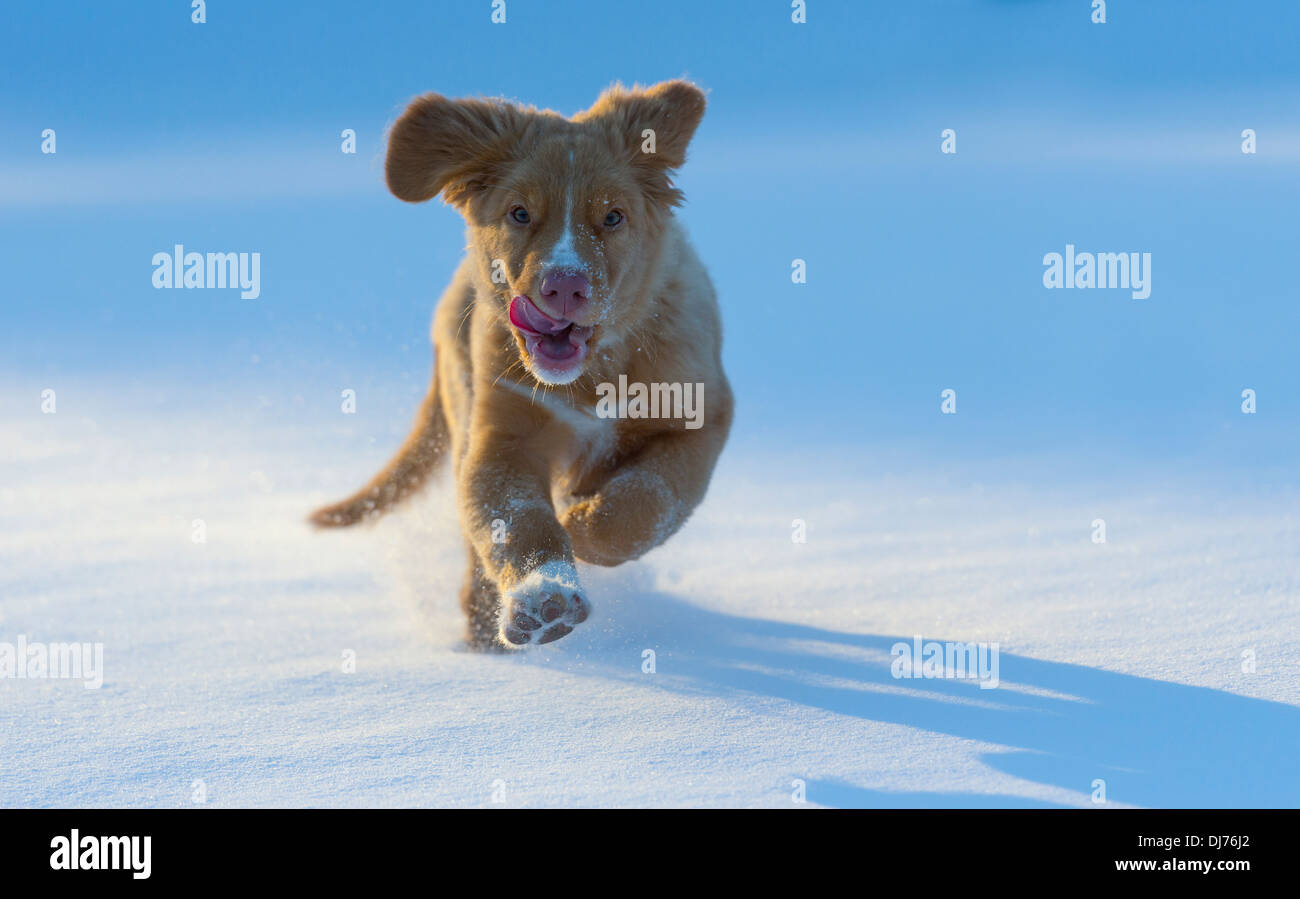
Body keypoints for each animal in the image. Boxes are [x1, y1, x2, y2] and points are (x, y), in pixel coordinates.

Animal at [306, 80, 733, 649]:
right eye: (520, 213)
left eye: (613, 216)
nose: (565, 286)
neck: (591, 377)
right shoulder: (500, 437)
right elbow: (518, 521)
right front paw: (544, 600)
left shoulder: (698, 418)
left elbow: (647, 500)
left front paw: (583, 528)